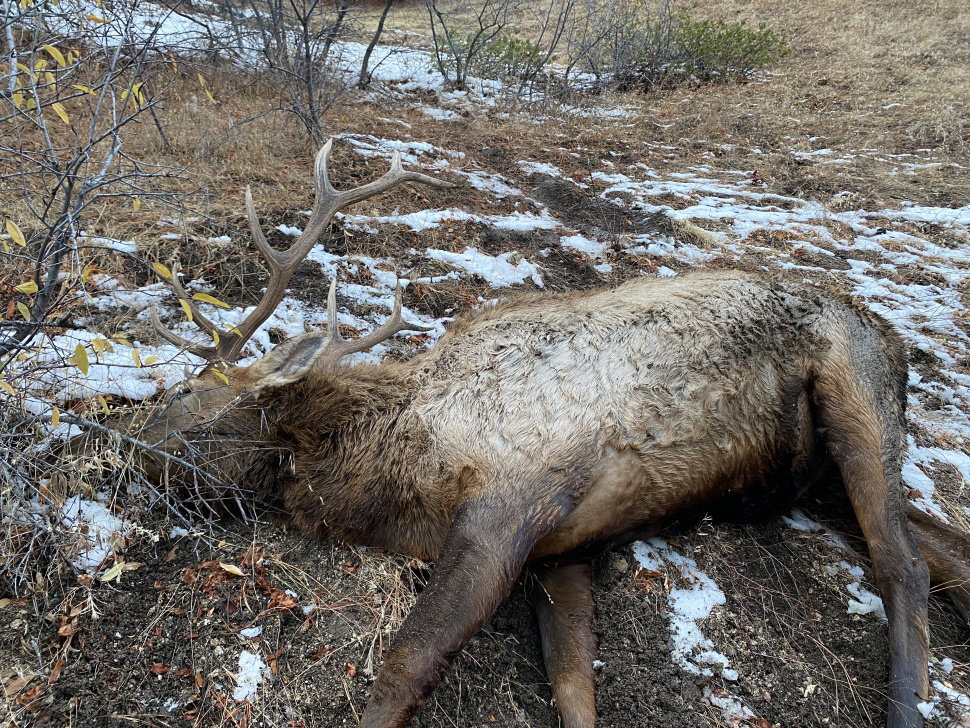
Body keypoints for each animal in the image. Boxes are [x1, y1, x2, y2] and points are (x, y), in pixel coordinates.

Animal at [95, 139, 970, 728]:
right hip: (807, 479)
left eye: (187, 393)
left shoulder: (514, 505)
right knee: (942, 547)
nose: (111, 449)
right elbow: (573, 690)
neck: (393, 466)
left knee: (900, 565)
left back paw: (906, 704)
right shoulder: (566, 552)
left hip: (854, 387)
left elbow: (405, 664)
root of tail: (898, 341)